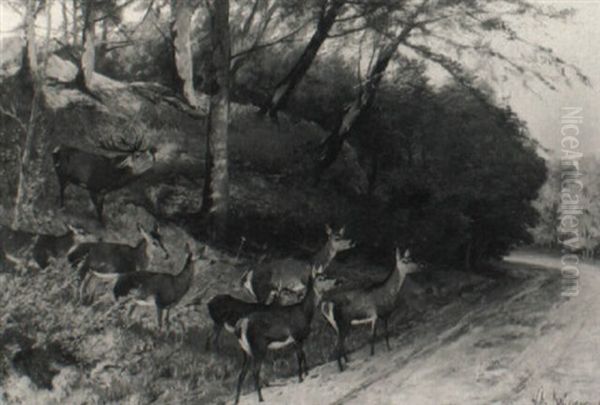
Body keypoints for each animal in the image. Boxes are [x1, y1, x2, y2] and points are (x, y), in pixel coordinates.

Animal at [232, 264, 324, 402]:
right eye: (320, 278)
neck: (305, 312)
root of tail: (241, 325)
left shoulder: (297, 339)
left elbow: (303, 354)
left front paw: (306, 373)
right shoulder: (297, 335)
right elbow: (299, 356)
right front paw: (301, 378)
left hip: (246, 351)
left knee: (241, 374)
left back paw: (237, 400)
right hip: (258, 347)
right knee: (255, 371)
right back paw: (261, 398)